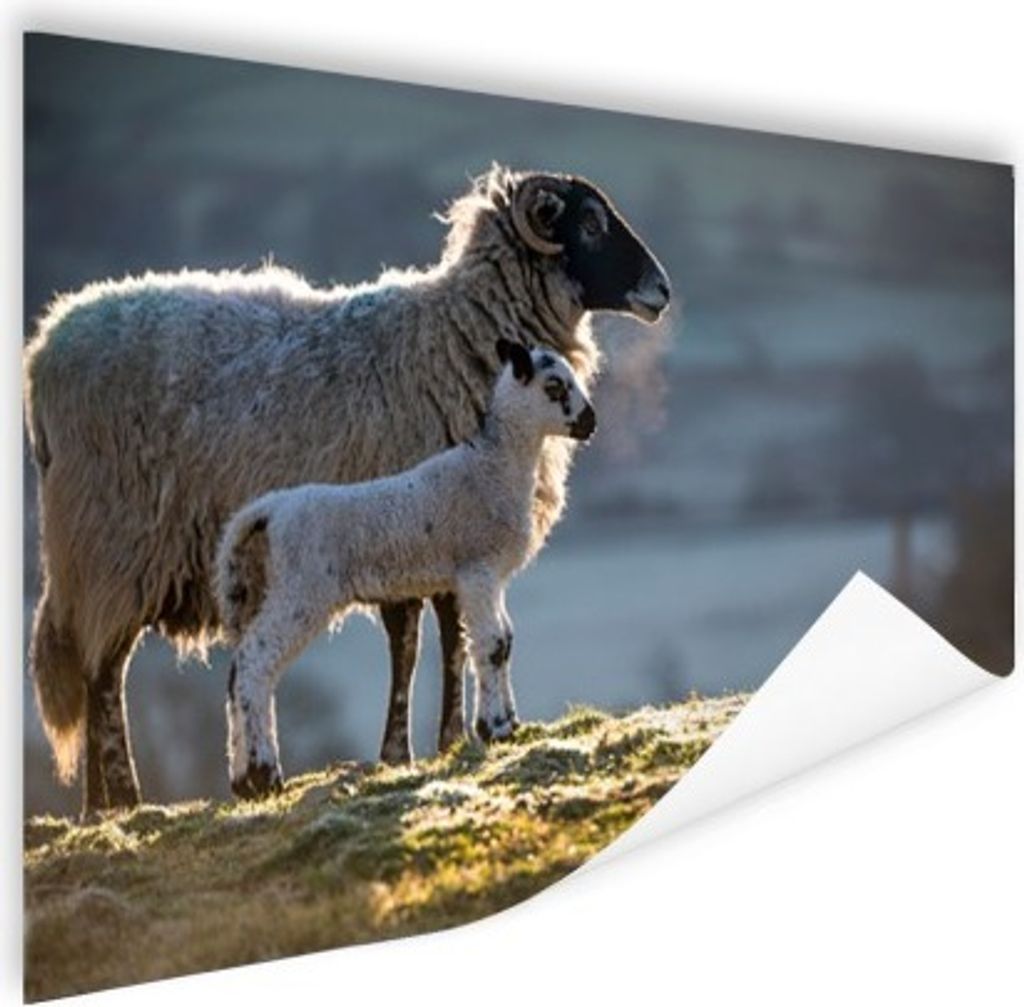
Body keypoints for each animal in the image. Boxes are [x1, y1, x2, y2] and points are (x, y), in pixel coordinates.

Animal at [217, 339, 595, 798]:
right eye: (554, 386)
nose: (590, 423)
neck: (493, 467)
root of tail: (269, 510)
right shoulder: (476, 569)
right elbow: (490, 645)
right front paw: (496, 729)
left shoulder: (489, 577)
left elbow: (505, 641)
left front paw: (508, 724)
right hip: (303, 589)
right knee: (256, 663)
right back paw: (265, 775)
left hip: (274, 587)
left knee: (238, 668)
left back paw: (243, 781)